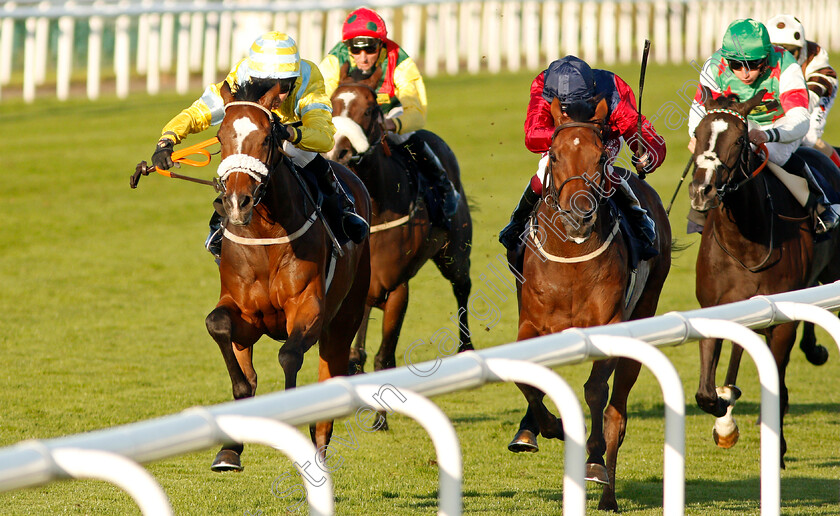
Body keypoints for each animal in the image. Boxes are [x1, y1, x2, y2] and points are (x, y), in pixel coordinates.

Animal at [203, 78, 370, 470]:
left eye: (266, 138)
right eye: (219, 136)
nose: (236, 203)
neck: (264, 236)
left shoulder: (309, 307)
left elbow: (289, 355)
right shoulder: (244, 313)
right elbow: (219, 326)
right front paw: (232, 439)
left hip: (346, 315)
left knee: (331, 373)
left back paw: (319, 448)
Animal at [326, 81, 476, 388]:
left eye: (369, 109)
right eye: (332, 105)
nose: (337, 151)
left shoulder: (397, 287)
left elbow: (384, 360)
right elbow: (354, 353)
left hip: (454, 252)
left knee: (462, 287)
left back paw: (465, 346)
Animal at [508, 98, 672, 512]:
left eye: (600, 156)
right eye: (554, 154)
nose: (578, 214)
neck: (572, 255)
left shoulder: (609, 326)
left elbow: (595, 391)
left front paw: (594, 460)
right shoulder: (531, 325)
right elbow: (526, 379)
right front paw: (544, 427)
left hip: (644, 312)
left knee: (617, 412)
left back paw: (608, 496)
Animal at [688, 86, 840, 466]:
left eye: (740, 139)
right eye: (698, 132)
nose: (702, 191)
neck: (744, 241)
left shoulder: (781, 319)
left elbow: (778, 386)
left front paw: (778, 449)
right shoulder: (716, 308)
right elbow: (705, 393)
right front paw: (724, 409)